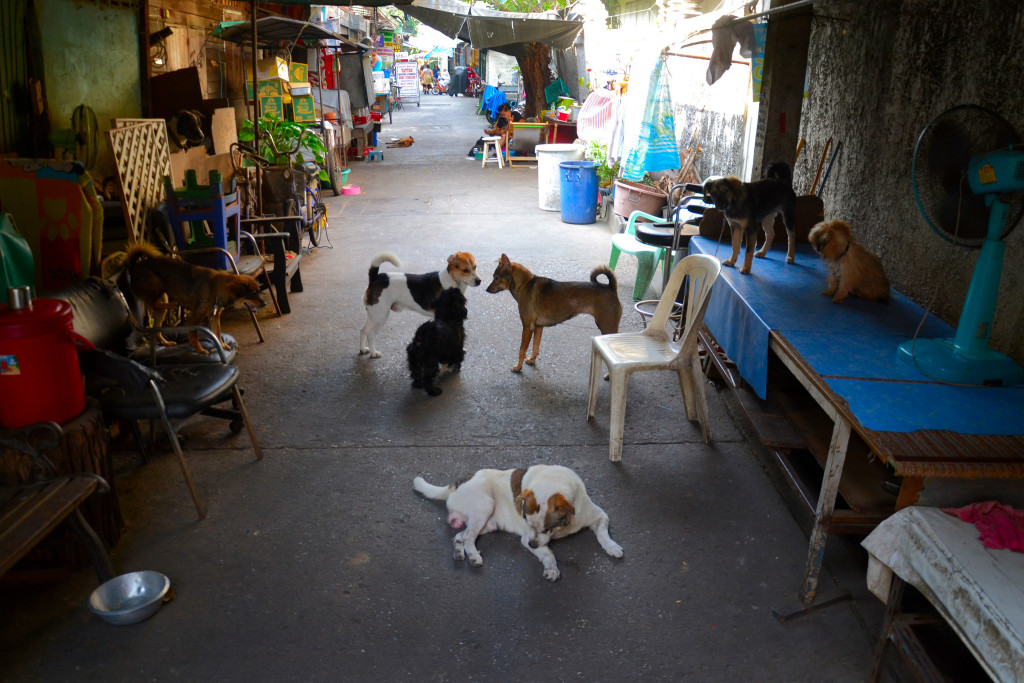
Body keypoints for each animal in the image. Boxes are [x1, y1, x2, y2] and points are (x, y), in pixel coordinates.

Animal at [123, 242, 264, 352]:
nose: (264, 304)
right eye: (252, 294)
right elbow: (194, 335)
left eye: (258, 291)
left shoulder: (214, 317)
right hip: (157, 282)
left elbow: (217, 333)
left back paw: (165, 342)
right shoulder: (194, 318)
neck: (217, 288)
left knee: (156, 326)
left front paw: (222, 345)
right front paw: (200, 350)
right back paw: (173, 304)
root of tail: (134, 266)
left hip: (162, 299)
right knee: (153, 304)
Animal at [409, 462, 618, 581]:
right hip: (484, 506)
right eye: (526, 520)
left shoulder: (600, 516)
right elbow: (549, 553)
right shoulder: (527, 538)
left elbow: (603, 533)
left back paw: (460, 552)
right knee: (468, 537)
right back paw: (474, 556)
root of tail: (456, 483)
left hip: (488, 524)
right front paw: (551, 568)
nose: (532, 545)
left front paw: (612, 547)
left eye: (547, 528)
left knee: (460, 535)